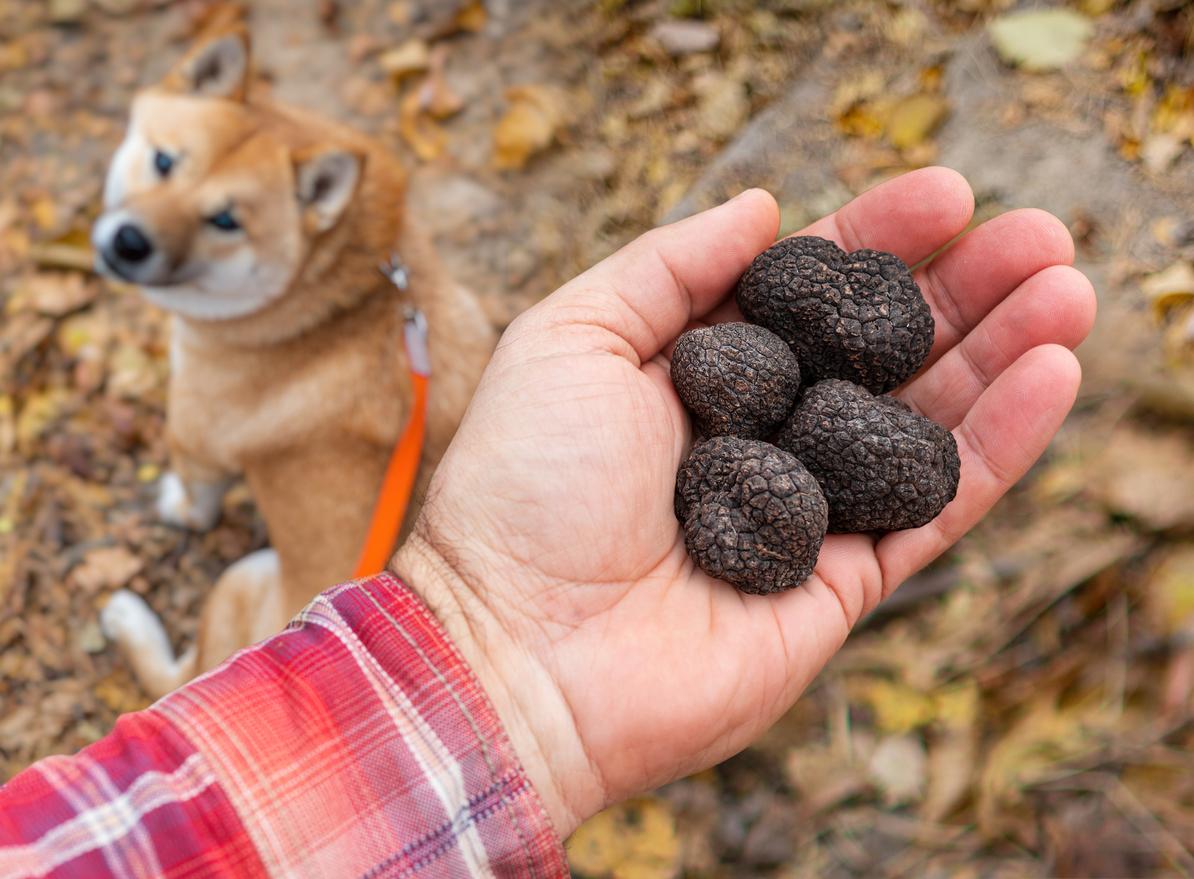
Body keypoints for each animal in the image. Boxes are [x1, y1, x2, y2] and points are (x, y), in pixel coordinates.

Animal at [94, 27, 499, 697]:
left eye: (225, 221)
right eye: (164, 162)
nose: (129, 243)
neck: (339, 294)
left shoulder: (198, 445)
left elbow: (197, 503)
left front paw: (174, 505)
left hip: (240, 580)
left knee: (176, 676)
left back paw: (130, 621)